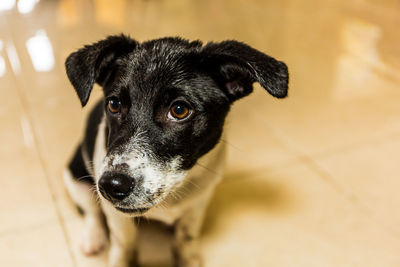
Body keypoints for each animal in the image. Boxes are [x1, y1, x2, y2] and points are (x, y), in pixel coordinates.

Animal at [61, 35, 288, 267]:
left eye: (179, 110)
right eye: (114, 104)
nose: (111, 185)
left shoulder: (199, 203)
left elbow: (186, 237)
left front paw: (188, 258)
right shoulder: (117, 217)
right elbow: (124, 244)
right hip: (75, 176)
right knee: (91, 212)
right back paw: (93, 238)